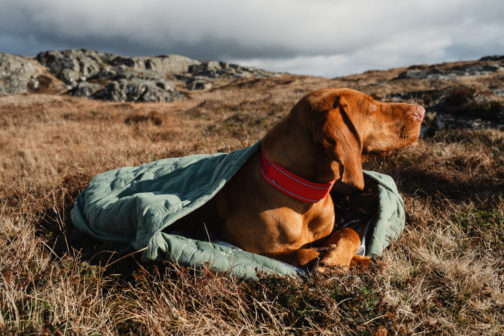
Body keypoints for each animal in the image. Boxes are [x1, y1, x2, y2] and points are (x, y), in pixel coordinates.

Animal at [171, 88, 424, 272]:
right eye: (371, 106)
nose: (421, 110)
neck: (306, 197)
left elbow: (349, 232)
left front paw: (347, 258)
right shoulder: (246, 248)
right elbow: (299, 253)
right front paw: (329, 259)